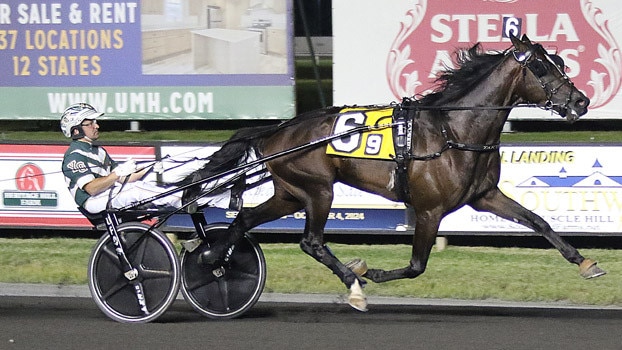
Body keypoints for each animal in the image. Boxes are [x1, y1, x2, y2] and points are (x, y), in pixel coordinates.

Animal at [184, 34, 604, 310]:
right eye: (541, 66)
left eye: (560, 62)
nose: (580, 101)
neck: (453, 131)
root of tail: (277, 130)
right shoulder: (430, 210)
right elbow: (417, 265)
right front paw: (369, 273)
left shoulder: (485, 195)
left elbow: (538, 221)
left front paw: (587, 263)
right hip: (318, 190)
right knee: (312, 242)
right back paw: (352, 284)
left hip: (290, 192)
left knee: (245, 220)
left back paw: (214, 258)